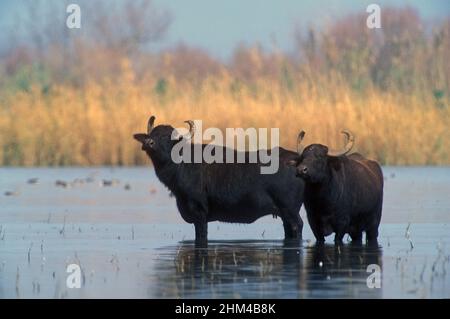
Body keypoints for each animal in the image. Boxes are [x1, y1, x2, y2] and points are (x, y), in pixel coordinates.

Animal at [132, 116, 304, 246]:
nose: (148, 143)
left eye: (168, 137)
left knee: (298, 226)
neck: (183, 164)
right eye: (152, 134)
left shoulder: (200, 214)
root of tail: (298, 160)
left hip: (290, 210)